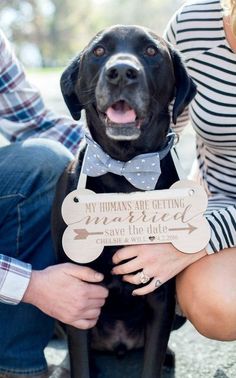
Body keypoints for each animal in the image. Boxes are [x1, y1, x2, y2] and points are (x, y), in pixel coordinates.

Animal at [52, 25, 197, 376]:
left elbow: (151, 361)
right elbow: (81, 361)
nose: (120, 73)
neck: (125, 169)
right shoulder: (78, 290)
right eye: (99, 51)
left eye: (151, 51)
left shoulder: (161, 292)